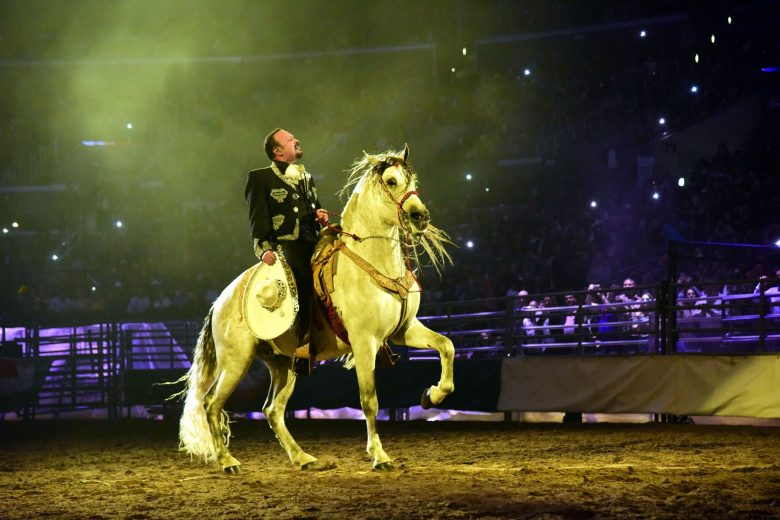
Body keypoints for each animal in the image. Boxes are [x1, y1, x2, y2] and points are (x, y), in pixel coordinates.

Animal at [171, 144, 450, 474]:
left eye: (412, 179)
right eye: (391, 181)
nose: (420, 216)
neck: (371, 261)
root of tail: (220, 303)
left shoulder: (404, 330)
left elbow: (446, 346)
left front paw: (433, 395)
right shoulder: (364, 342)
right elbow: (369, 400)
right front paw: (380, 456)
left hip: (282, 364)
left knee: (272, 410)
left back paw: (302, 457)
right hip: (235, 361)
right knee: (212, 404)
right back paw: (228, 462)